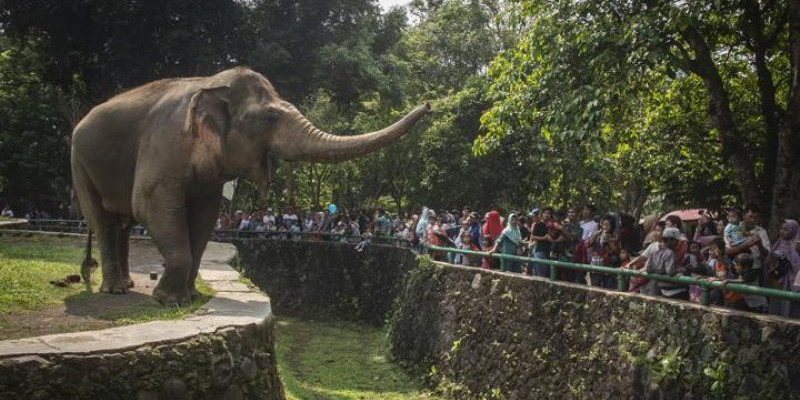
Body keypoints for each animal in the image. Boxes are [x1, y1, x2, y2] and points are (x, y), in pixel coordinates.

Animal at [72, 67, 428, 304]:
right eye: (270, 118)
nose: (429, 105)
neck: (209, 83)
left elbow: (204, 218)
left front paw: (190, 296)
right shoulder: (162, 145)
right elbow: (148, 203)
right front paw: (169, 301)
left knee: (122, 223)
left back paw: (126, 285)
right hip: (79, 161)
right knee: (104, 221)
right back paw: (116, 288)